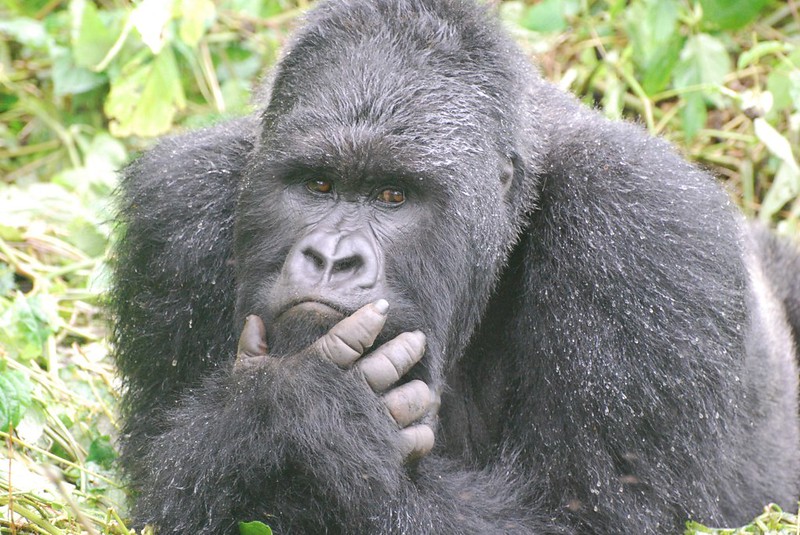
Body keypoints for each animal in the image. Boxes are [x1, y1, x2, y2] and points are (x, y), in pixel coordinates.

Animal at [111, 0, 800, 532]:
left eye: (393, 196)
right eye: (318, 185)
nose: (332, 259)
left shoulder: (641, 232)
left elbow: (590, 515)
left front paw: (308, 416)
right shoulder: (175, 217)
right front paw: (289, 413)